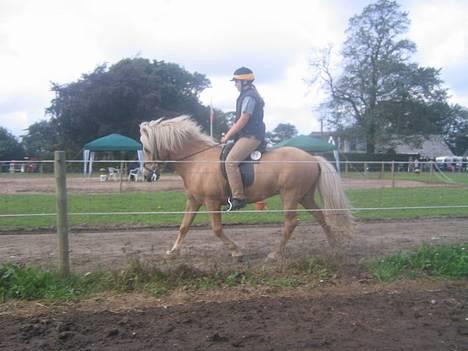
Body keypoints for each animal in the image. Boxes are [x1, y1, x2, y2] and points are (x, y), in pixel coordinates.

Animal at [141, 115, 352, 258]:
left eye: (147, 148)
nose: (146, 175)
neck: (197, 160)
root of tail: (312, 158)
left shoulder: (211, 201)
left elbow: (216, 229)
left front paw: (236, 251)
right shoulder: (194, 200)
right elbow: (184, 226)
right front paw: (173, 251)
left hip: (290, 196)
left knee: (291, 222)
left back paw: (275, 253)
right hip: (304, 196)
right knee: (320, 216)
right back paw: (334, 246)